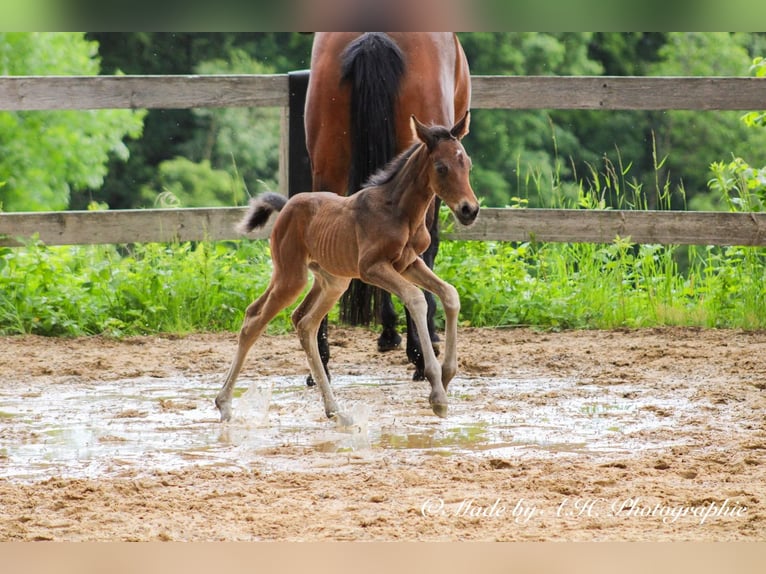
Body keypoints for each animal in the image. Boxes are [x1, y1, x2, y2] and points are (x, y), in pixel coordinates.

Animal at [216, 115, 480, 426]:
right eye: (441, 167)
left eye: (468, 164)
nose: (469, 210)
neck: (399, 212)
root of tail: (287, 205)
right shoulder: (372, 268)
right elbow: (416, 299)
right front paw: (437, 393)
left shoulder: (408, 264)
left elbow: (450, 294)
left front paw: (448, 375)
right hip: (291, 276)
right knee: (254, 320)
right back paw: (223, 404)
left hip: (333, 281)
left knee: (304, 322)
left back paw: (335, 410)